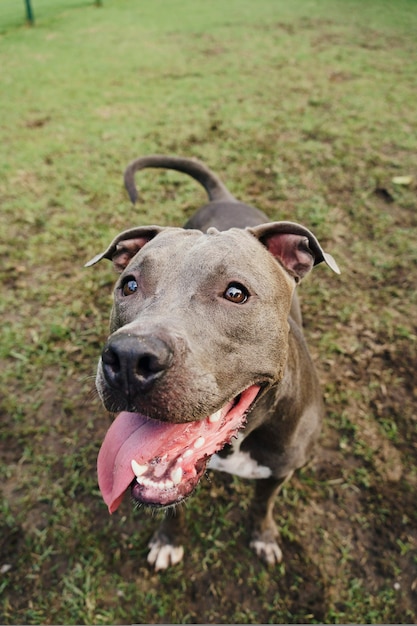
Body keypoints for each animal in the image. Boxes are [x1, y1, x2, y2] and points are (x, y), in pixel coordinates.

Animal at [85, 156, 338, 572]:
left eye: (236, 293)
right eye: (130, 285)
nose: (129, 356)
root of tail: (225, 196)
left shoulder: (280, 471)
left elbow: (262, 505)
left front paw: (263, 536)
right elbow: (171, 504)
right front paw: (168, 540)